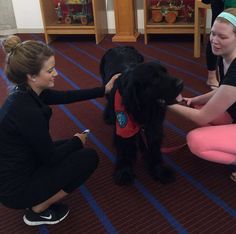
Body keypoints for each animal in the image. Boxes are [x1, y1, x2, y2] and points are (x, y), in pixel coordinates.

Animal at [99, 46, 183, 186]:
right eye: (155, 78)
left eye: (166, 72)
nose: (181, 83)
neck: (145, 108)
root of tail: (119, 46)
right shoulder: (123, 125)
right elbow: (125, 147)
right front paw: (124, 171)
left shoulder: (154, 125)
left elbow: (154, 148)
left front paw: (159, 170)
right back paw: (108, 116)